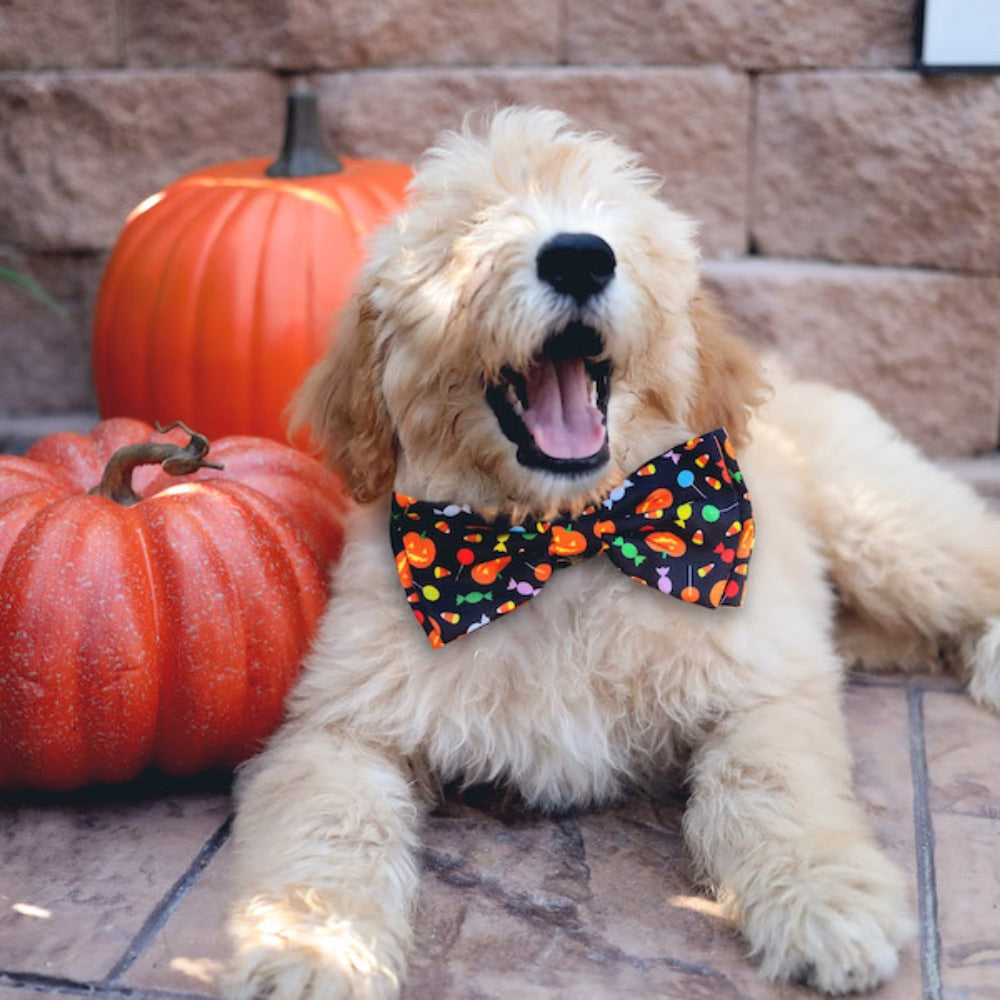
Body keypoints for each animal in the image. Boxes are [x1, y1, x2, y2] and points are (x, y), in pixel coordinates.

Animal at [227, 105, 1000, 996]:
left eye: (616, 221)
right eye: (468, 229)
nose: (579, 254)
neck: (567, 540)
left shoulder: (764, 681)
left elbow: (770, 780)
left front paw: (826, 904)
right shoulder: (338, 725)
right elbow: (328, 824)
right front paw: (308, 948)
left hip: (878, 520)